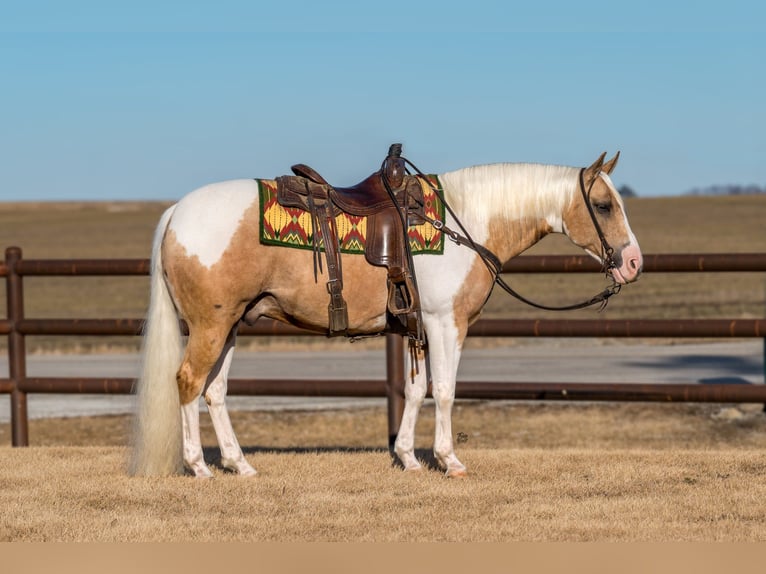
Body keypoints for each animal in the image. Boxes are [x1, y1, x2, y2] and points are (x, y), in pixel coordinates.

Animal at [130, 151, 640, 480]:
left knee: (214, 391)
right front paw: (449, 461)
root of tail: (177, 212)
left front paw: (409, 458)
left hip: (231, 325)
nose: (633, 262)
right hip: (211, 326)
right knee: (189, 382)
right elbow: (445, 391)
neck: (463, 224)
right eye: (602, 205)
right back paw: (199, 467)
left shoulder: (419, 326)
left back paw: (240, 465)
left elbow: (414, 391)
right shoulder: (446, 322)